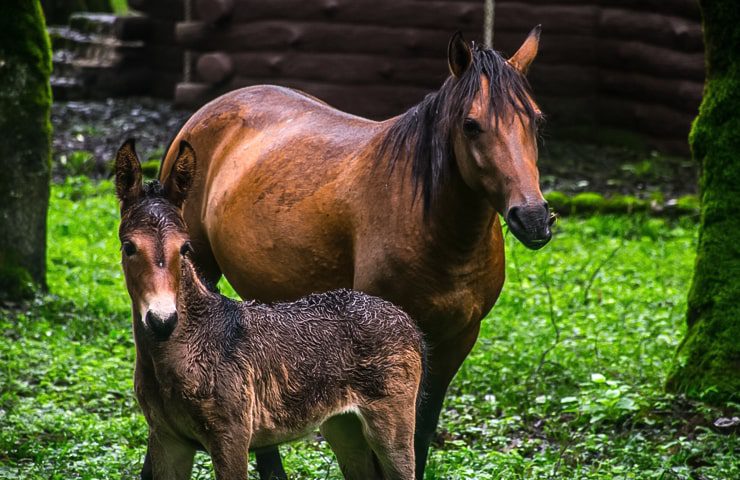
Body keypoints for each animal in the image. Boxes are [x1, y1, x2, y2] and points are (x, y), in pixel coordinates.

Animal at [116, 137, 428, 478]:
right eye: (128, 246)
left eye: (185, 247)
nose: (162, 319)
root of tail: (413, 327)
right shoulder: (165, 436)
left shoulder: (232, 431)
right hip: (341, 425)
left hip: (393, 417)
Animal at [162, 28, 552, 478]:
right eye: (471, 125)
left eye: (536, 120)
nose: (533, 217)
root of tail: (211, 109)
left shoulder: (458, 339)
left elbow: (422, 430)